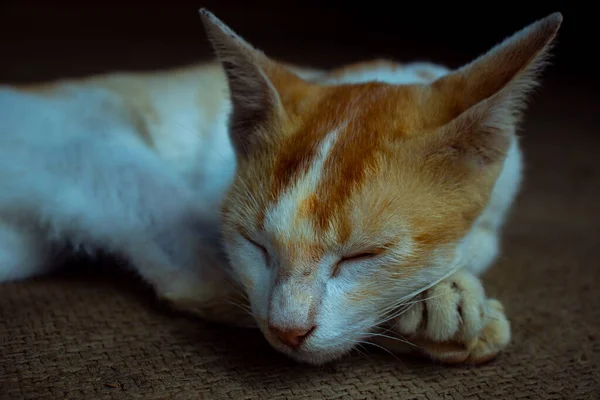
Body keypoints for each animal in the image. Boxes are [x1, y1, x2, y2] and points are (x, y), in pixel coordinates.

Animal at [0, 9, 564, 366]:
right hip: (87, 138)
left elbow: (474, 246)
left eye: (362, 255)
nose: (288, 331)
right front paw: (446, 303)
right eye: (256, 246)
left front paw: (440, 294)